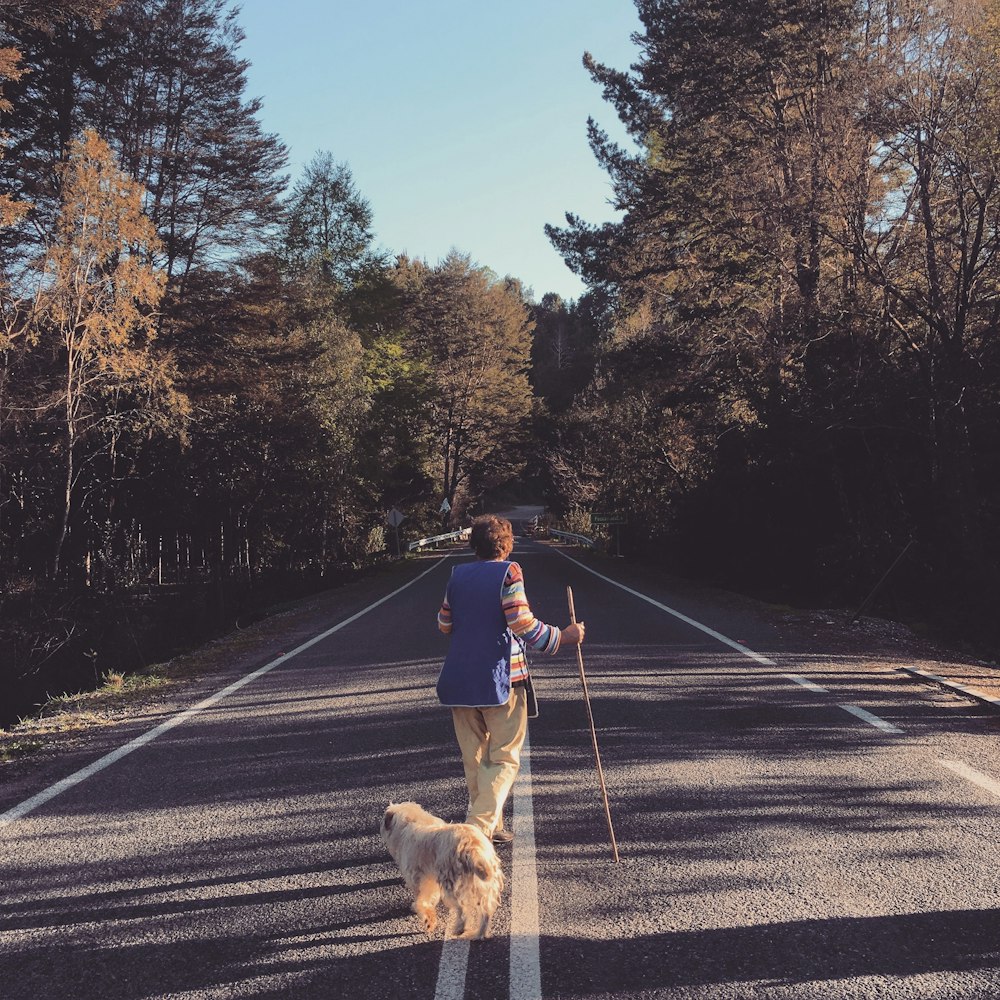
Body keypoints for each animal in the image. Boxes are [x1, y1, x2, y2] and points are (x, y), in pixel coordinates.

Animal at [382, 800, 508, 940]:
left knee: (462, 909)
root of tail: (471, 847)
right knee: (485, 913)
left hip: (452, 884)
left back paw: (460, 929)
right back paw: (479, 934)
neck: (410, 820)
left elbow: (423, 899)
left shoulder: (421, 878)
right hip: (484, 886)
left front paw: (427, 919)